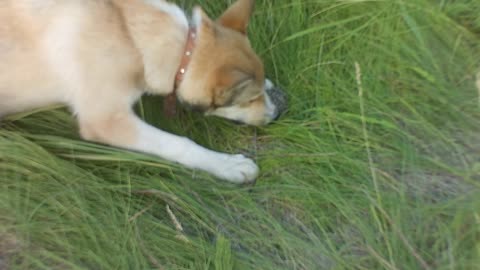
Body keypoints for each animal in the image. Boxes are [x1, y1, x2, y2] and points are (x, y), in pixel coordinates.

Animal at [0, 0, 284, 184]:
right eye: (251, 99)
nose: (283, 106)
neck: (130, 36)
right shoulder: (107, 121)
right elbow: (180, 143)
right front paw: (228, 165)